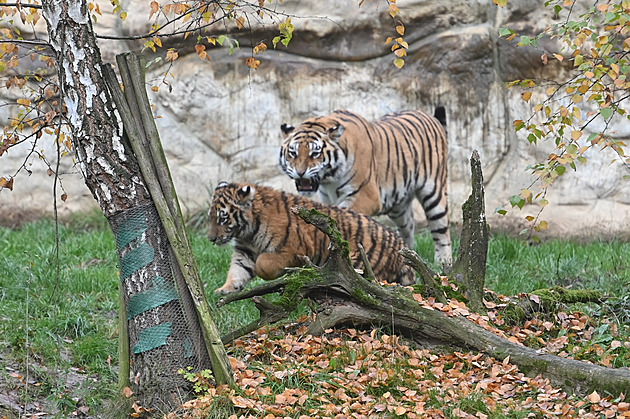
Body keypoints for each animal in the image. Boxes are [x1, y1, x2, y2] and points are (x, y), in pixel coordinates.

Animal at [207, 181, 418, 296]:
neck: (249, 231)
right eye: (211, 217)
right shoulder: (245, 251)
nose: (210, 239)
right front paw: (225, 290)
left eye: (222, 218)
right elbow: (237, 271)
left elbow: (263, 264)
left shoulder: (294, 249)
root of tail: (402, 246)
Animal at [278, 108, 452, 266]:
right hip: (398, 206)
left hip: (434, 192)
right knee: (408, 226)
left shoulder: (366, 196)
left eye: (315, 153)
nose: (300, 173)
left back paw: (444, 262)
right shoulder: (327, 199)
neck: (329, 179)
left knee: (441, 228)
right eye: (293, 153)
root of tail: (428, 115)